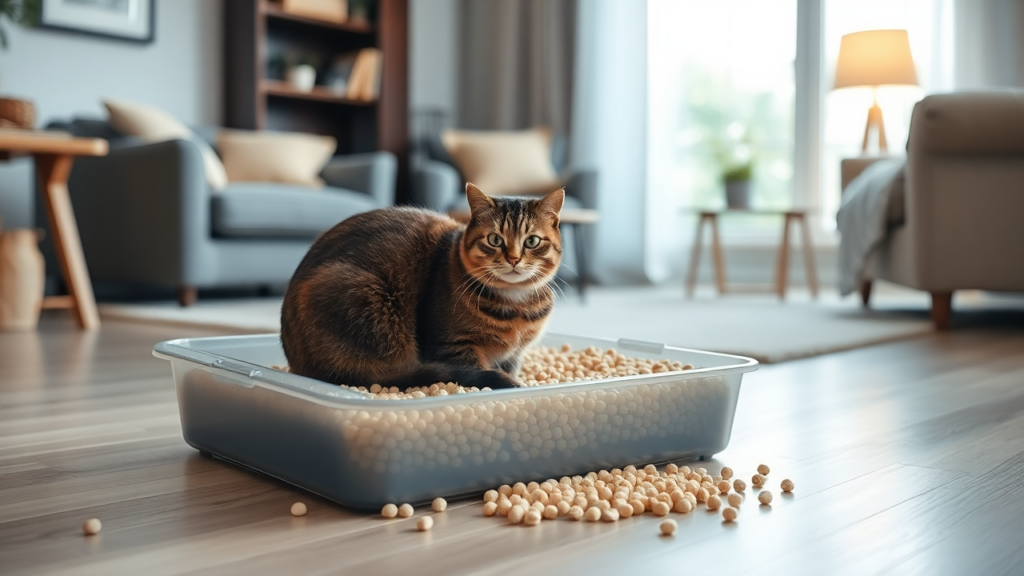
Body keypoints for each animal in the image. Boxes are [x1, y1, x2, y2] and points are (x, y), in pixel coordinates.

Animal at [280, 183, 565, 389]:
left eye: (532, 241)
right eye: (495, 239)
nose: (514, 259)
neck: (515, 307)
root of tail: (297, 364)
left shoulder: (513, 357)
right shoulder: (453, 347)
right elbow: (474, 370)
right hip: (365, 301)